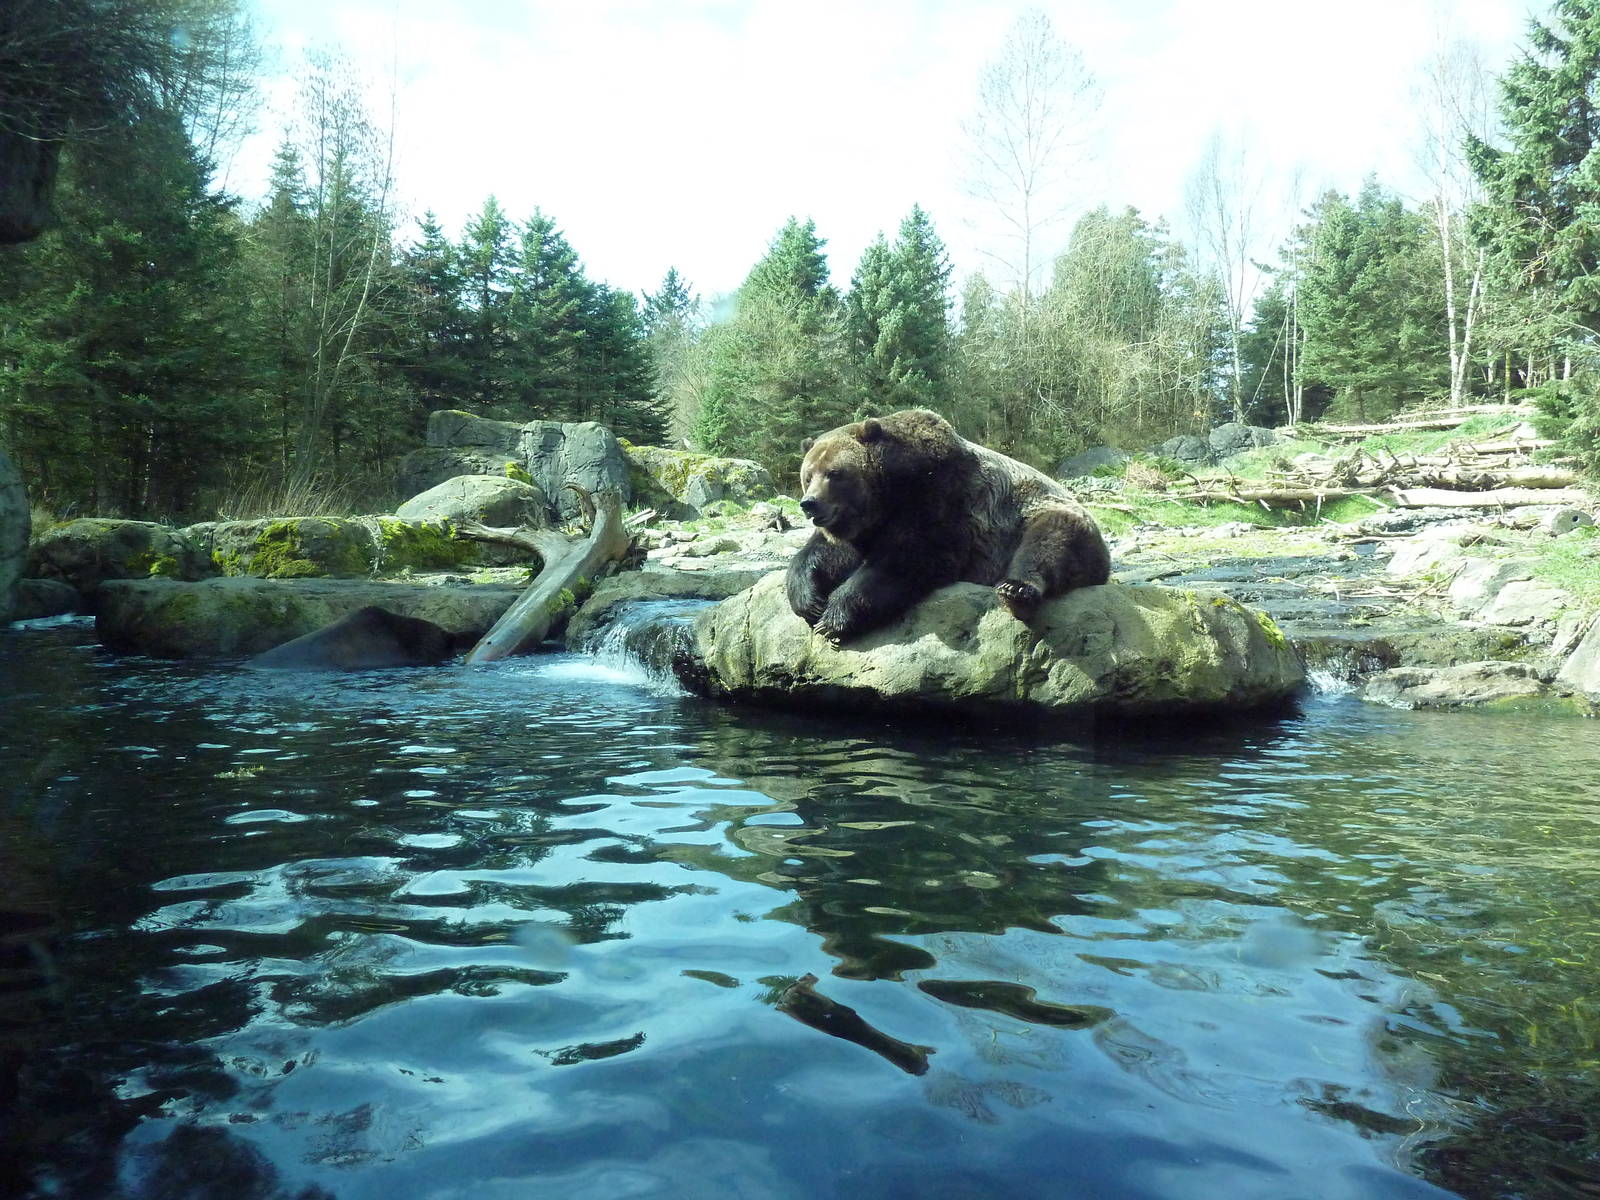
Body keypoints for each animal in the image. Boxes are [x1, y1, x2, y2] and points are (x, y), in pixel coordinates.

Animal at [785, 409, 1110, 645]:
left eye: (834, 473)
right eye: (808, 474)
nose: (810, 503)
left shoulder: (940, 497)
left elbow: (910, 559)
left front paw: (834, 618)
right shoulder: (861, 526)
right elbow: (825, 553)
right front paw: (809, 601)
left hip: (1044, 513)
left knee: (1047, 543)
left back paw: (1015, 591)